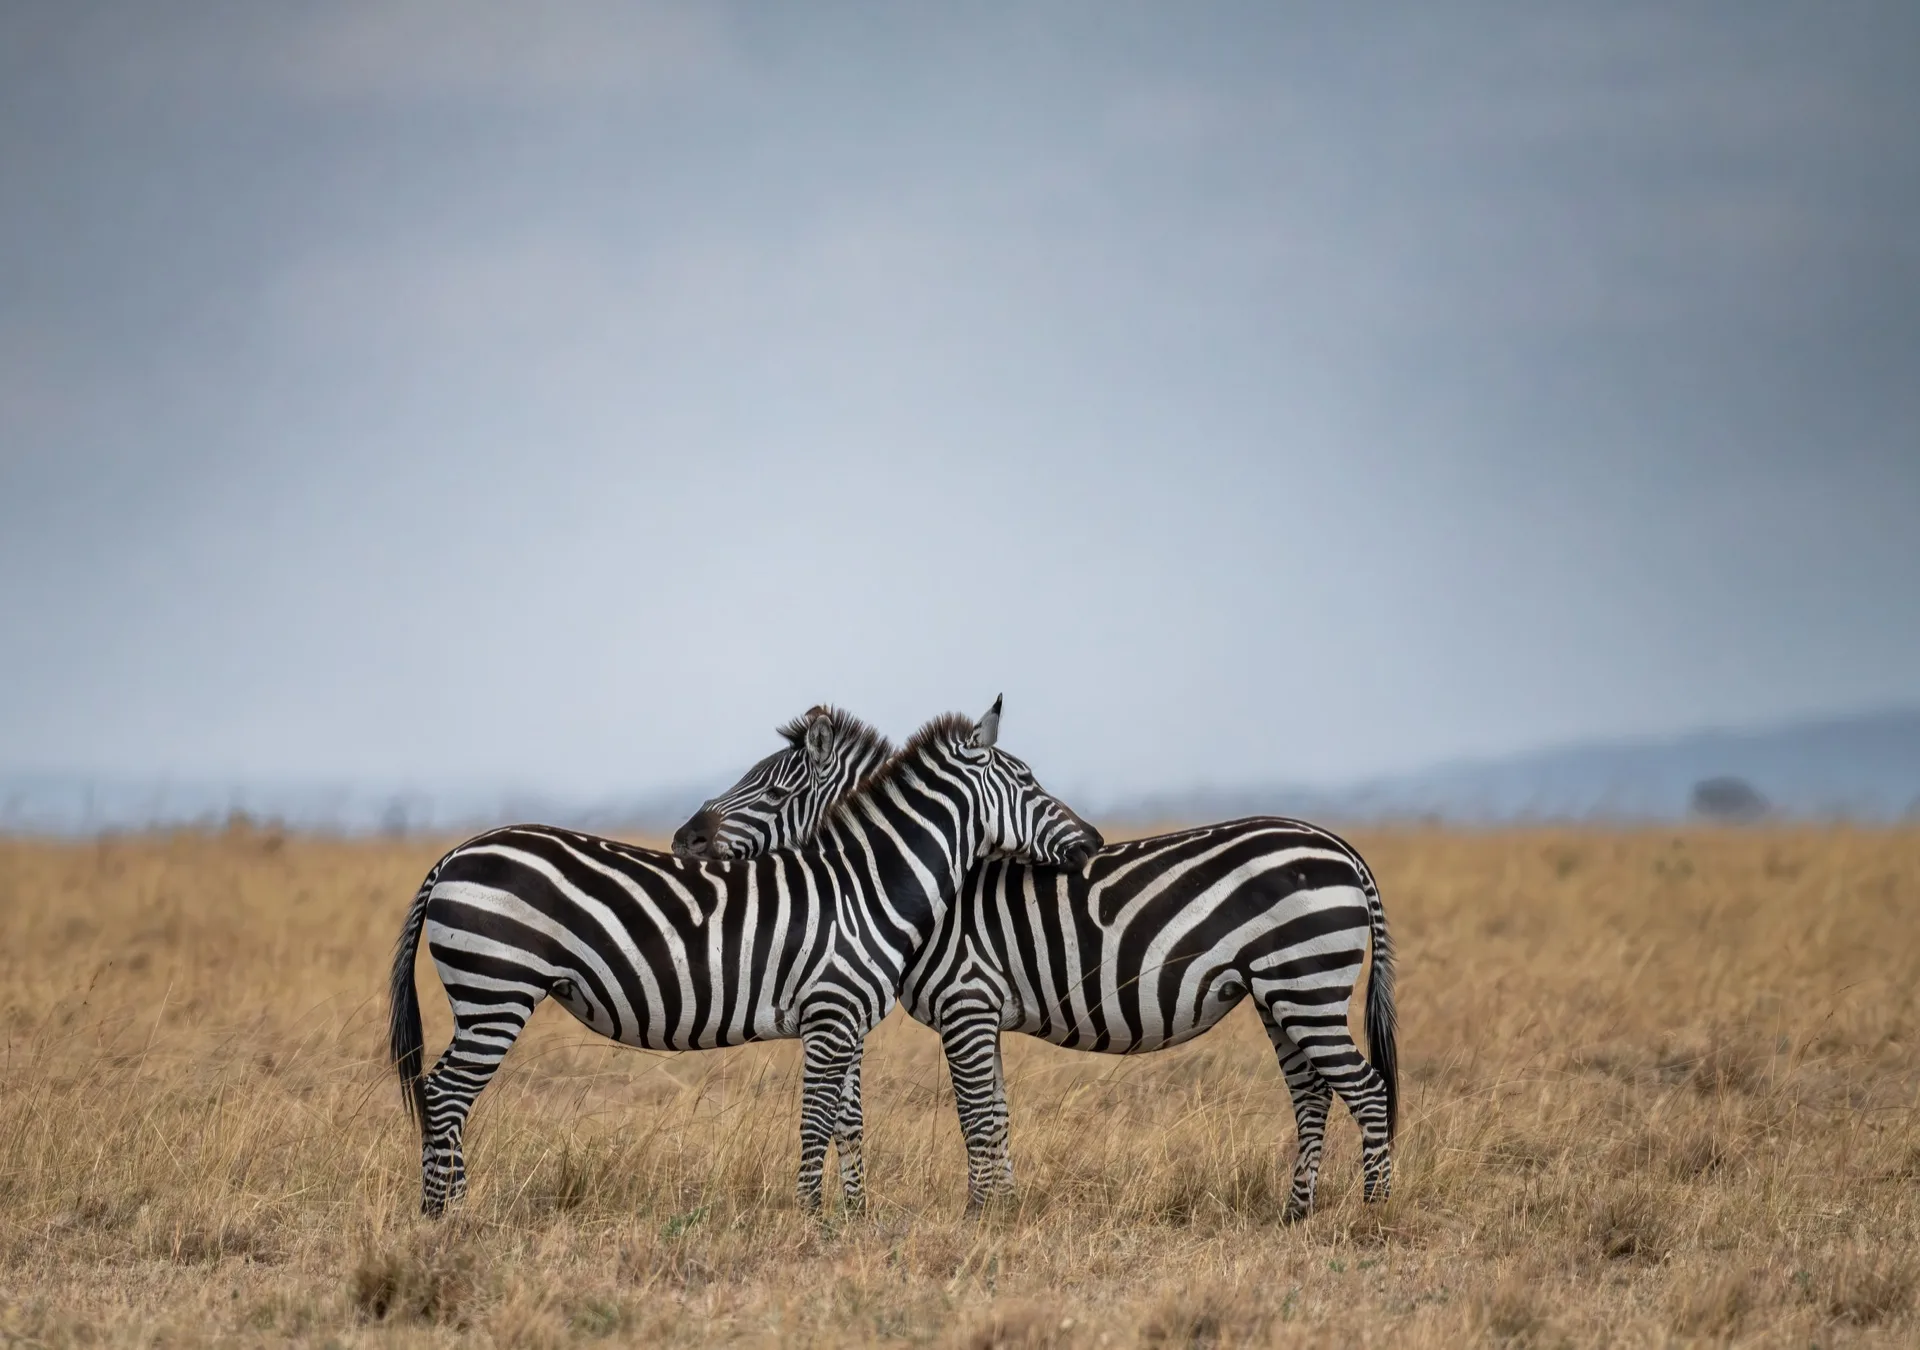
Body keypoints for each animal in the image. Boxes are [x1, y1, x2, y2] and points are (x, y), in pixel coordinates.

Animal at [388, 698, 1101, 1217]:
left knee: (442, 1094)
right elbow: (816, 1121)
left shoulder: (844, 1020)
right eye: (1030, 781)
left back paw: (450, 1210)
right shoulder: (831, 1015)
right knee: (444, 1092)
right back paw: (445, 1217)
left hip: (487, 993)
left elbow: (848, 1122)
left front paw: (853, 1218)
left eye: (772, 790)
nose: (1094, 841)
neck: (864, 884)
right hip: (496, 991)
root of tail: (454, 854)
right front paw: (812, 1220)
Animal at [675, 709, 1398, 1219]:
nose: (684, 838)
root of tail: (1340, 845)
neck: (919, 880)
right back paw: (1296, 1213)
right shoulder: (981, 1012)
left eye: (771, 790)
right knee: (1313, 1094)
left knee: (1365, 1089)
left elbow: (975, 1115)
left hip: (1305, 984)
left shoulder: (966, 1000)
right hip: (1282, 992)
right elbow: (996, 1114)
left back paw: (1372, 1212)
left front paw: (977, 1215)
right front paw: (1005, 1209)